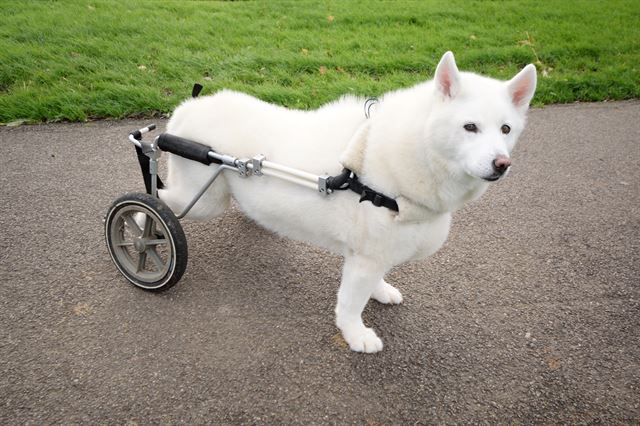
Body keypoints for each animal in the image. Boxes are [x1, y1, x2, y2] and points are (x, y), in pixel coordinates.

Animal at [159, 51, 536, 352]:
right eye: (470, 127)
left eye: (505, 129)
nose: (501, 164)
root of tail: (187, 107)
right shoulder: (365, 257)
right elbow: (351, 305)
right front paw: (356, 335)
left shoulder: (376, 250)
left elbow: (377, 279)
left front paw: (380, 290)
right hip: (201, 200)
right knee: (158, 198)